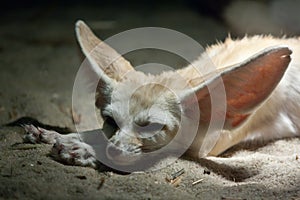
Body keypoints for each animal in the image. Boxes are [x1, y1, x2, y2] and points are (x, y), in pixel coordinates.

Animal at [24, 20, 300, 170]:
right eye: (110, 121)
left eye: (152, 127)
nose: (114, 151)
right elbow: (94, 131)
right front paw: (52, 134)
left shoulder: (205, 146)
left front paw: (82, 150)